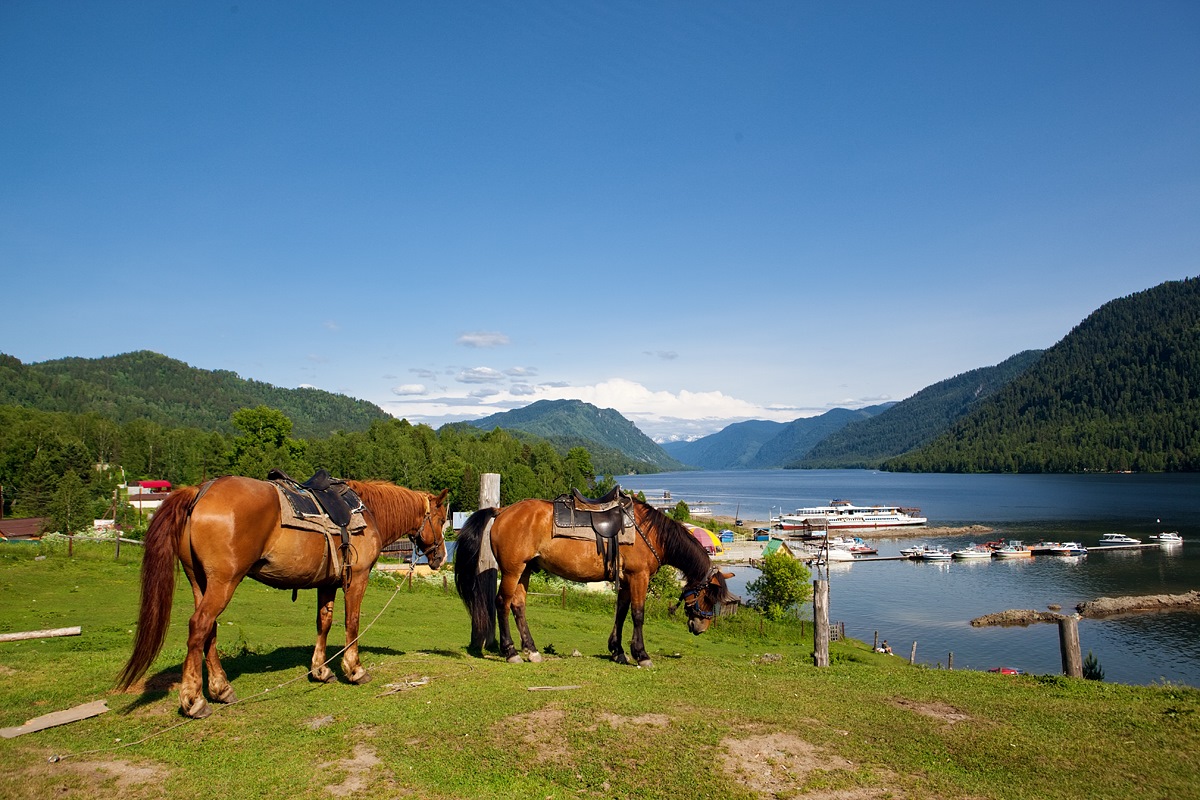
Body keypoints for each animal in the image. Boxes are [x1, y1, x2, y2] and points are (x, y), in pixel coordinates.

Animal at [118, 474, 451, 719]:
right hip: (223, 582)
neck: (368, 512)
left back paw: (221, 689)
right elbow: (352, 623)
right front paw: (354, 670)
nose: (441, 557)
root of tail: (200, 490)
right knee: (200, 626)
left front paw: (321, 670)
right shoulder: (356, 578)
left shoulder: (327, 582)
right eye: (441, 521)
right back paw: (194, 700)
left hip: (201, 582)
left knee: (208, 630)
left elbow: (324, 622)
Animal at [451, 496, 724, 666]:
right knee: (502, 603)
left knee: (518, 605)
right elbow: (638, 614)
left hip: (524, 570)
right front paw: (641, 654)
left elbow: (621, 613)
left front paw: (618, 652)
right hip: (511, 570)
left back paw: (532, 650)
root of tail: (502, 511)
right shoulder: (639, 577)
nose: (701, 627)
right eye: (709, 596)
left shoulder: (626, 580)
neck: (652, 533)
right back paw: (510, 652)